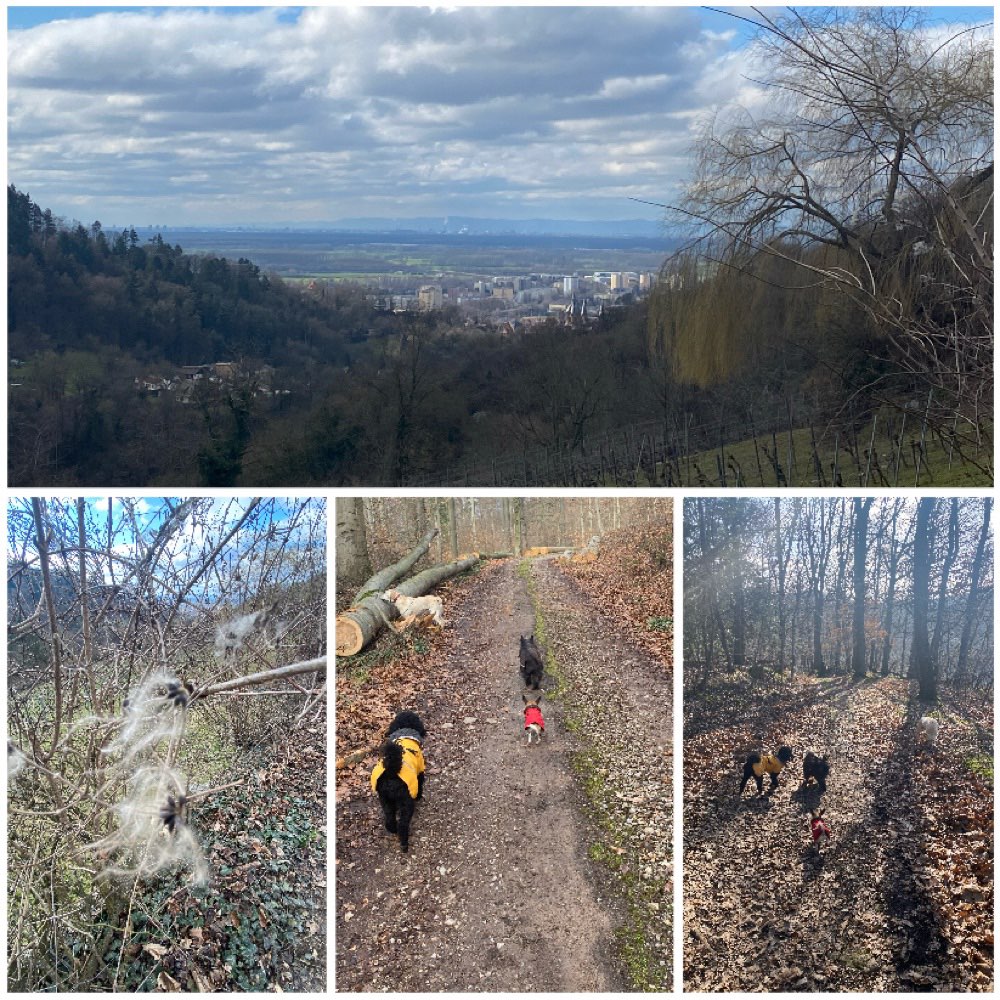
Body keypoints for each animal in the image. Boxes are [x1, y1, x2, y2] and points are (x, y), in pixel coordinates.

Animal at [372, 712, 426, 852]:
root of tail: (392, 772)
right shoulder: (420, 771)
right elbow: (420, 783)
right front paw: (419, 796)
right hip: (406, 801)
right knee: (403, 824)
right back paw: (404, 843)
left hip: (384, 798)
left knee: (390, 816)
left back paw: (392, 829)